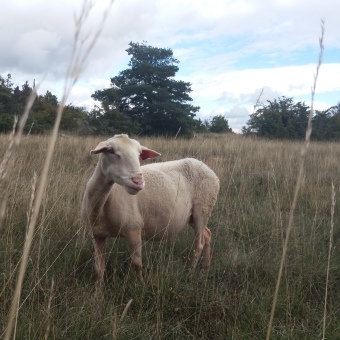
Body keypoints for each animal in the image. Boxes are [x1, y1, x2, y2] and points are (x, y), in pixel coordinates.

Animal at [81, 134, 219, 282]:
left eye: (139, 154)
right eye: (110, 150)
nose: (138, 182)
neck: (100, 206)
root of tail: (209, 169)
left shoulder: (133, 229)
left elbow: (137, 264)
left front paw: (140, 284)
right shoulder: (97, 234)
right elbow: (98, 269)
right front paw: (98, 288)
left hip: (203, 208)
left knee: (199, 244)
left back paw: (191, 274)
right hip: (191, 216)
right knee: (207, 234)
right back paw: (205, 271)